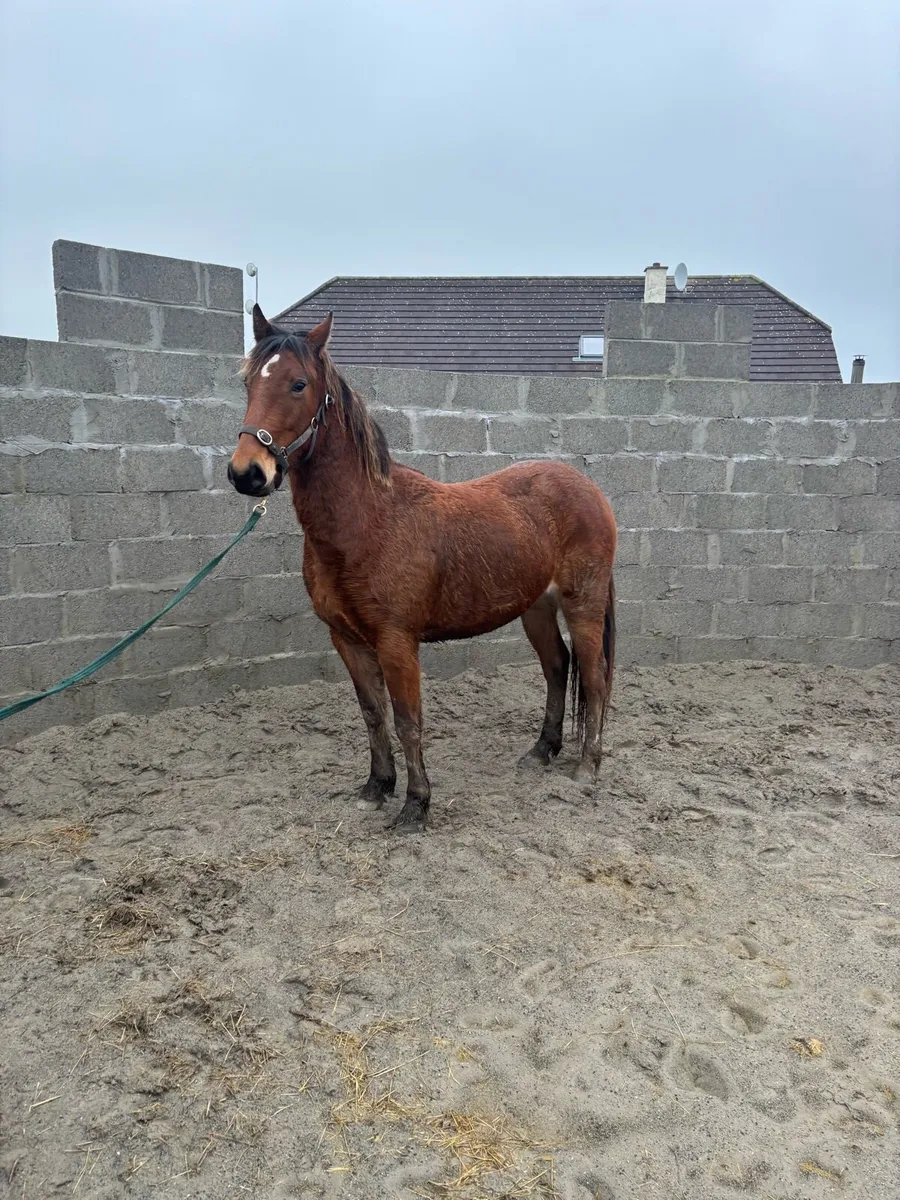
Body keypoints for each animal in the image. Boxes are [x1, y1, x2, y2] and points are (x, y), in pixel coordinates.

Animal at [228, 305, 617, 832]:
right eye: (248, 382)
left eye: (298, 384)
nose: (247, 473)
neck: (367, 520)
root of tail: (588, 488)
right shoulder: (347, 639)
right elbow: (374, 715)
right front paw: (376, 787)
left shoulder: (397, 641)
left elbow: (408, 720)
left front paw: (416, 805)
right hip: (535, 607)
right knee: (557, 667)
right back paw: (541, 751)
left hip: (584, 606)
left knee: (593, 677)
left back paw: (587, 767)